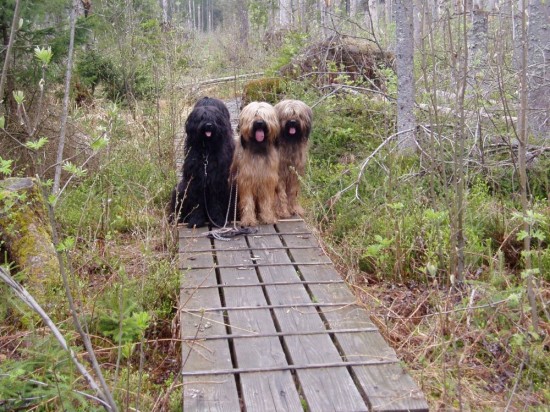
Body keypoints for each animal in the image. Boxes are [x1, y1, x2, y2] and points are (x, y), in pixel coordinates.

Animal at [169, 98, 235, 228]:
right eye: (201, 117)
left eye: (214, 117)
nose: (208, 125)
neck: (206, 152)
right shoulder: (196, 180)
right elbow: (197, 202)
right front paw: (196, 220)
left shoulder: (217, 180)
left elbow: (216, 202)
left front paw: (217, 220)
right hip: (181, 189)